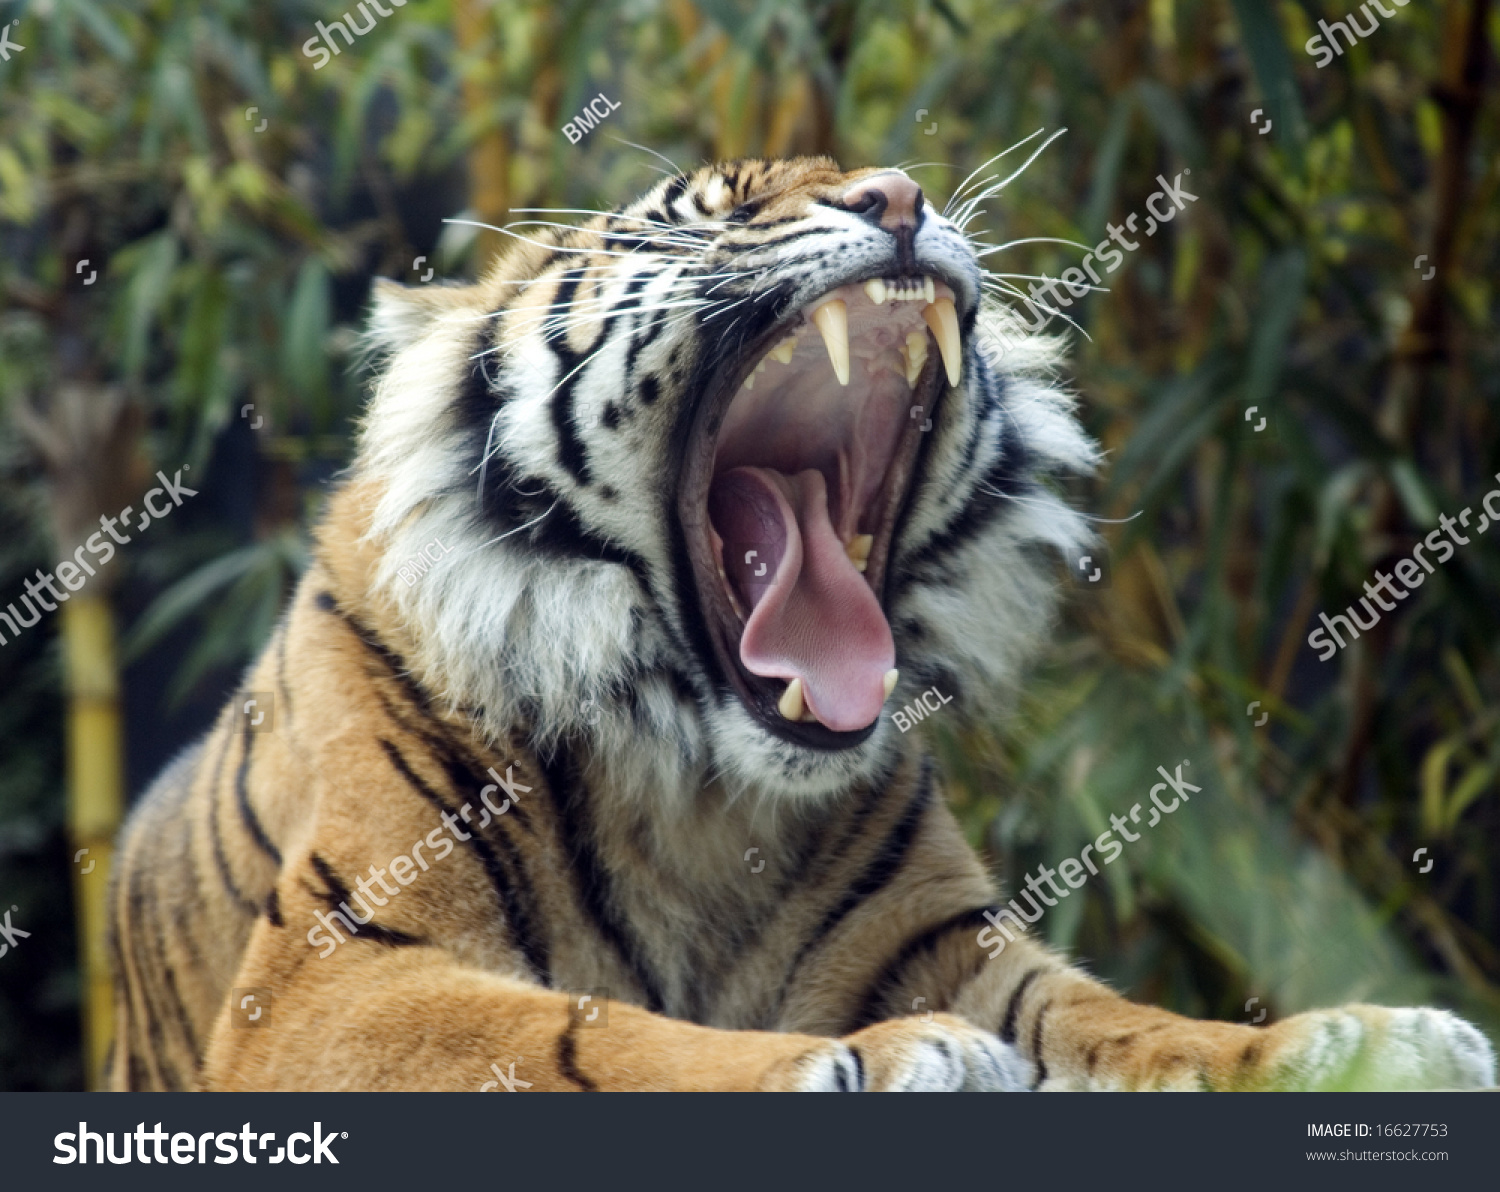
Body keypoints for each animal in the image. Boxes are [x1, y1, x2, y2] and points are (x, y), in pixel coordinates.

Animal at [102, 155, 1488, 1091]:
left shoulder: (939, 936)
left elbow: (1126, 1019)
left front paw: (1362, 1039)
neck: (700, 792)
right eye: (706, 213)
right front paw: (891, 1055)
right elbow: (585, 1032)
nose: (901, 197)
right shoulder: (331, 976)